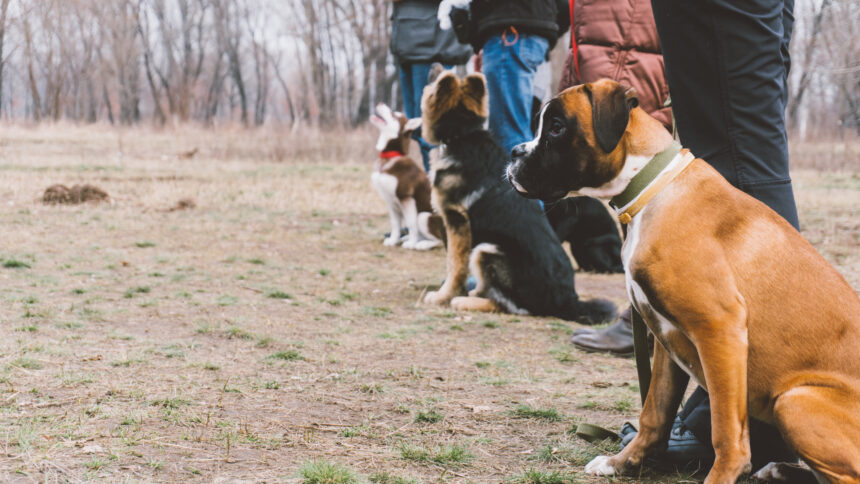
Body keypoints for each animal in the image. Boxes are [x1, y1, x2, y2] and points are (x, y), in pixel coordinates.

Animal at [368, 104, 440, 251]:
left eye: (394, 115)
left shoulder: (406, 197)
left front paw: (411, 243)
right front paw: (393, 240)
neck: (390, 156)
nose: (380, 103)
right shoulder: (390, 201)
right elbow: (395, 224)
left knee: (441, 240)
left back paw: (422, 244)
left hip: (423, 216)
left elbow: (412, 224)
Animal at [418, 68, 616, 326]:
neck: (462, 134)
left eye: (435, 81)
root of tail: (568, 301)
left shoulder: (457, 223)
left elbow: (454, 265)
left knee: (514, 307)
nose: (434, 67)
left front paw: (444, 296)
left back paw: (466, 301)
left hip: (486, 249)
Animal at [504, 77, 860, 482]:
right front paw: (621, 462)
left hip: (794, 400)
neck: (649, 190)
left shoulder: (719, 329)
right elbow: (654, 414)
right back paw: (778, 470)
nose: (513, 153)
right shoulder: (664, 338)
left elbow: (727, 433)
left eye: (557, 128)